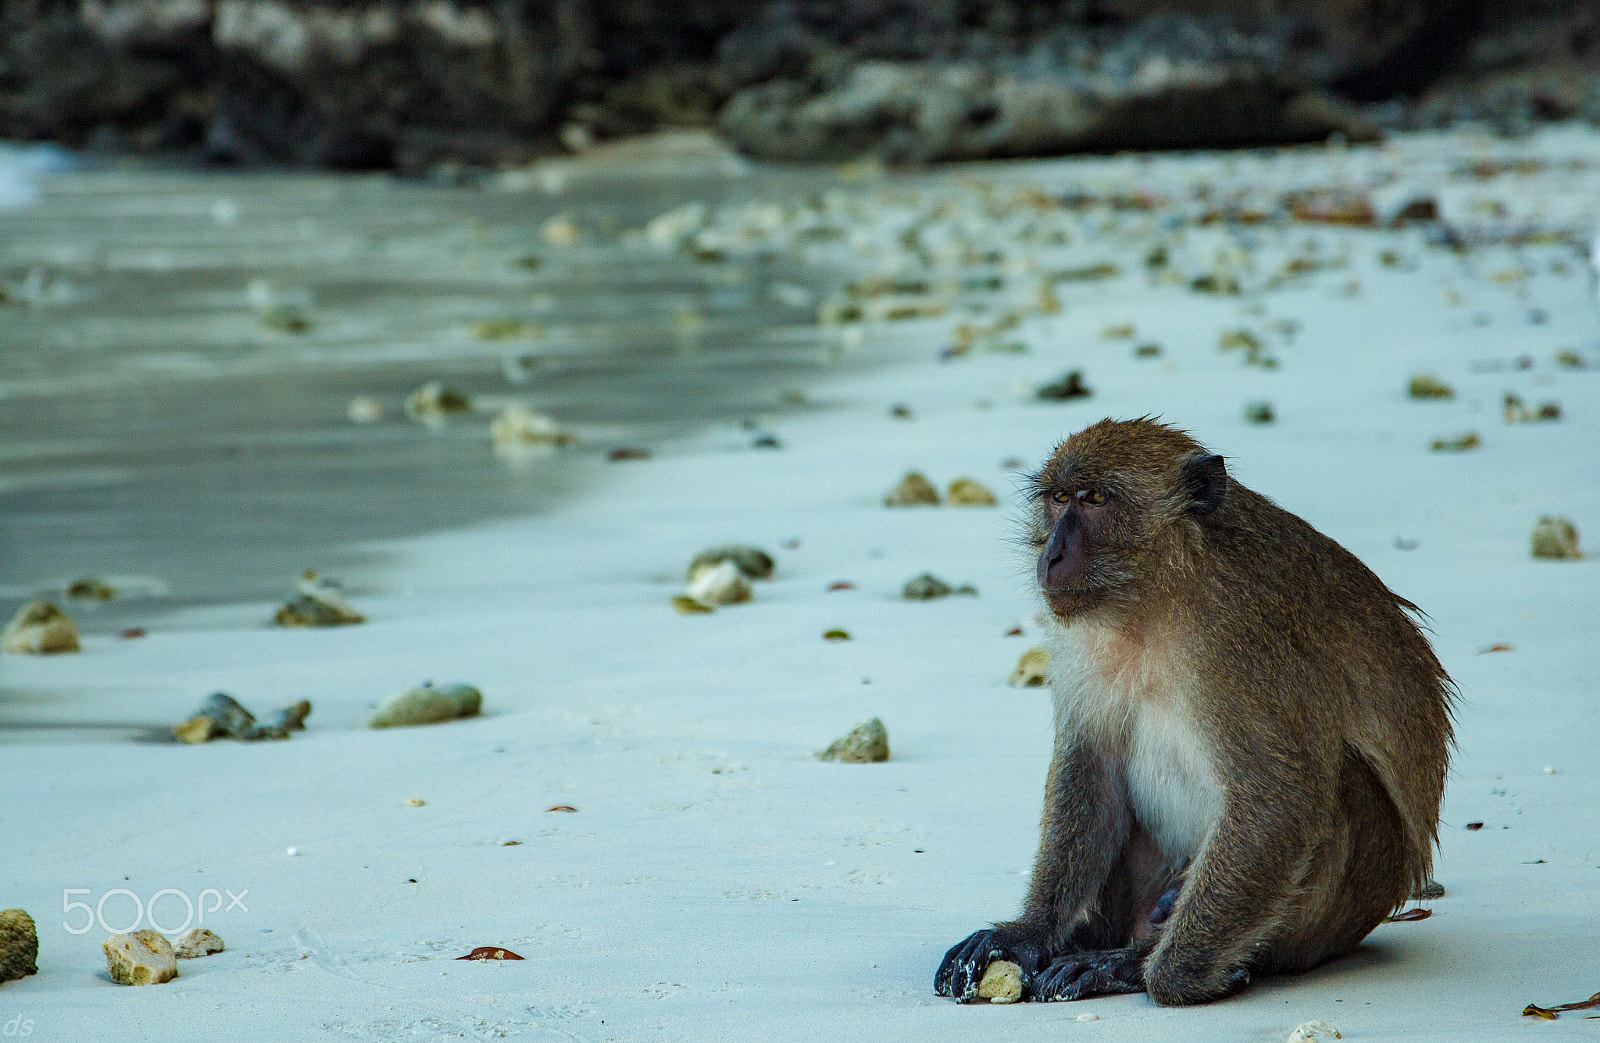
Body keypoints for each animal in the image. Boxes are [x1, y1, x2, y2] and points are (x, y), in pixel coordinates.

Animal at [934, 418, 1453, 1006]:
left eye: (1096, 500)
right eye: (1060, 499)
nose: (1052, 555)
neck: (1157, 598)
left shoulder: (1237, 641)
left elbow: (1280, 800)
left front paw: (1160, 974)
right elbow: (1090, 767)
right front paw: (1029, 933)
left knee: (1344, 784)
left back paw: (1144, 957)